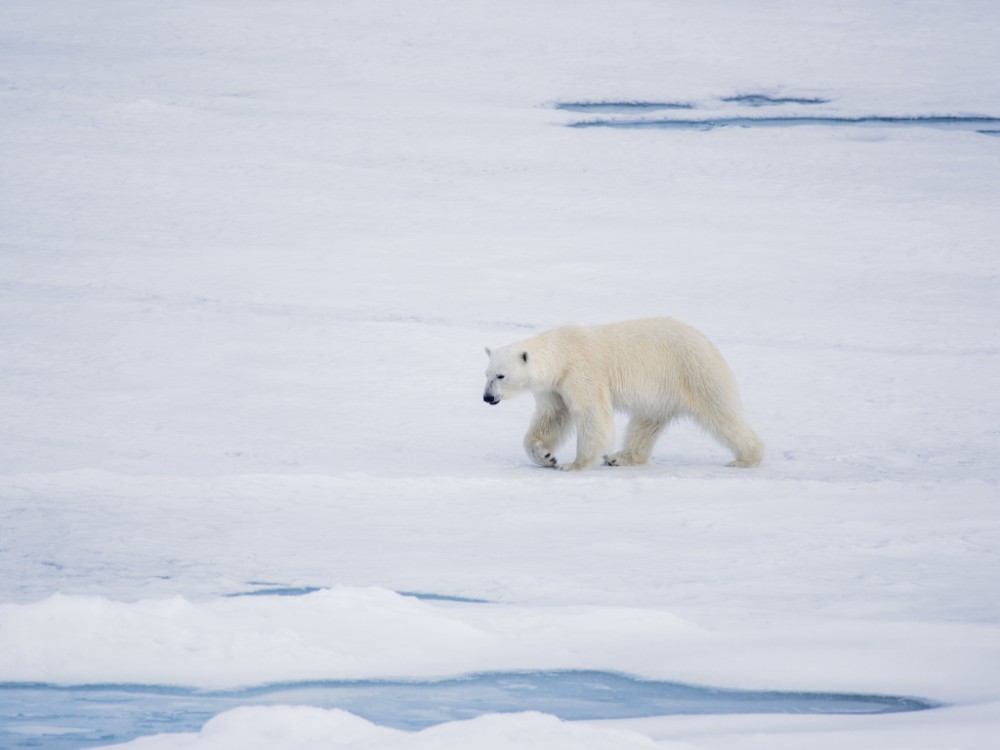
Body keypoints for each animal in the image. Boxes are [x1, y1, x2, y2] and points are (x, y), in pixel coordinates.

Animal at [482, 318, 756, 472]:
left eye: (500, 376)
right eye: (486, 374)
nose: (487, 398)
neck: (561, 353)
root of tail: (705, 339)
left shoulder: (581, 371)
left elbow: (591, 413)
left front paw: (573, 464)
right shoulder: (554, 387)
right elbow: (552, 417)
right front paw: (545, 456)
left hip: (693, 370)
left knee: (720, 412)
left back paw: (746, 458)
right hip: (661, 391)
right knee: (646, 423)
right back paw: (620, 457)